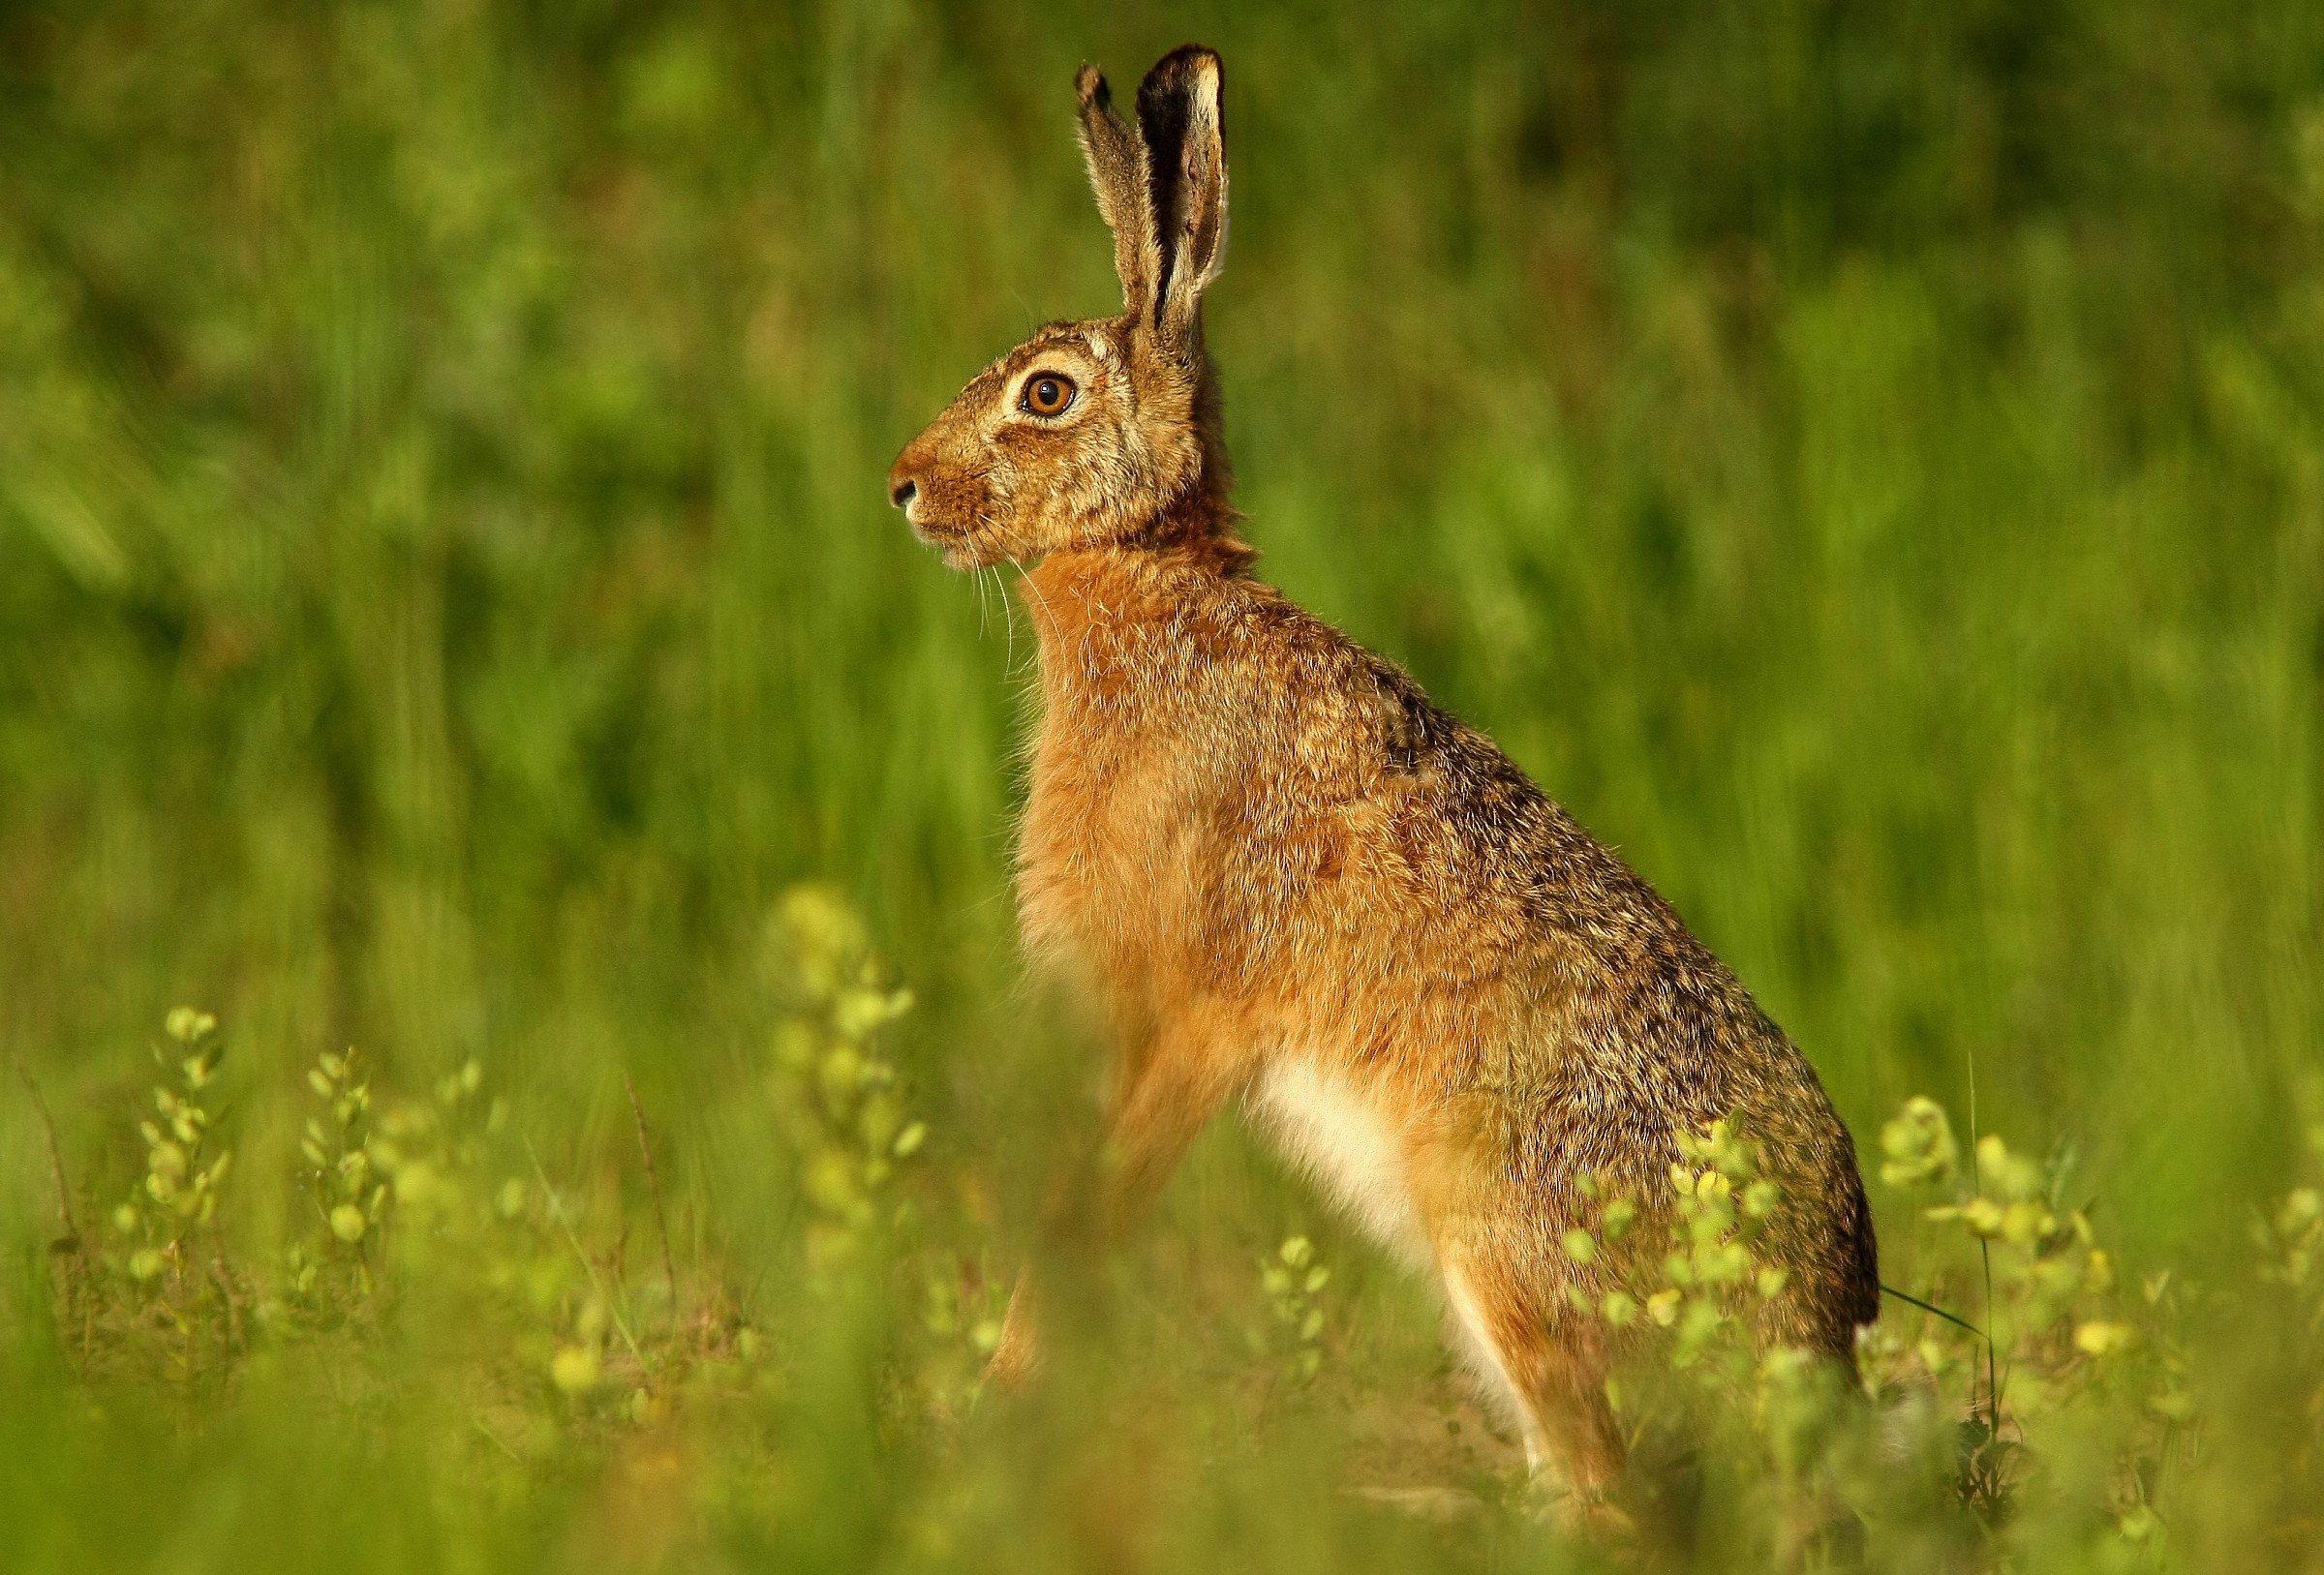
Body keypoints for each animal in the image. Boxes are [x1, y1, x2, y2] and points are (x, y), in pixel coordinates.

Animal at [886, 44, 1879, 1500]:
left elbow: (1082, 1231)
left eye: (1048, 395)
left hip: (1511, 1253)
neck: (1154, 582)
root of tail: (1821, 1324)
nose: (901, 488)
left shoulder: (1187, 1018)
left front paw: (996, 1408)